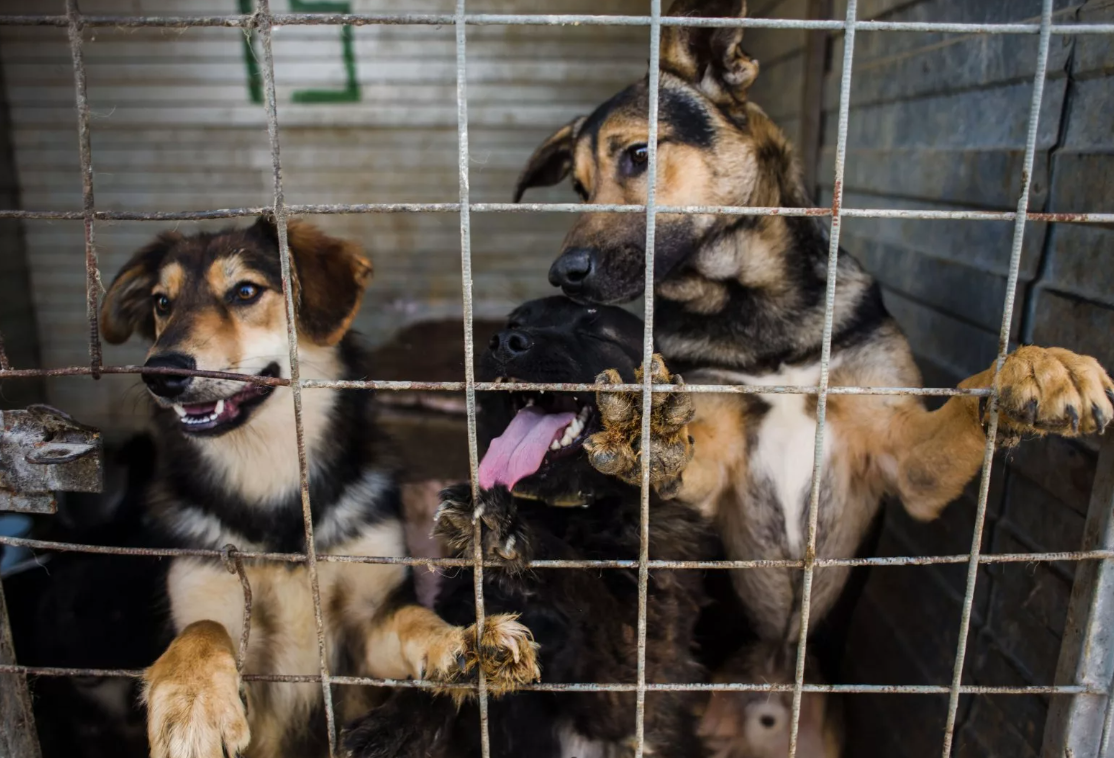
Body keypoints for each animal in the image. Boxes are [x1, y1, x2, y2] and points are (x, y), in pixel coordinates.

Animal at [100, 215, 539, 758]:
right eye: (163, 302)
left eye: (246, 291)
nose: (160, 373)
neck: (273, 482)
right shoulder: (214, 610)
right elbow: (202, 629)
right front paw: (192, 699)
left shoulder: (366, 634)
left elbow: (411, 617)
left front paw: (463, 642)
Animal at [343, 294, 717, 758]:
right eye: (514, 322)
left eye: (596, 330)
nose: (506, 342)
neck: (566, 510)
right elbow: (454, 658)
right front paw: (393, 724)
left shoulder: (633, 672)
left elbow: (585, 583)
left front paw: (507, 531)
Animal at [512, 0, 1114, 749]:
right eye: (577, 186)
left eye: (639, 155)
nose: (561, 275)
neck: (757, 312)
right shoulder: (706, 471)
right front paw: (631, 431)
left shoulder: (909, 462)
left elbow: (972, 392)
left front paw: (1044, 365)